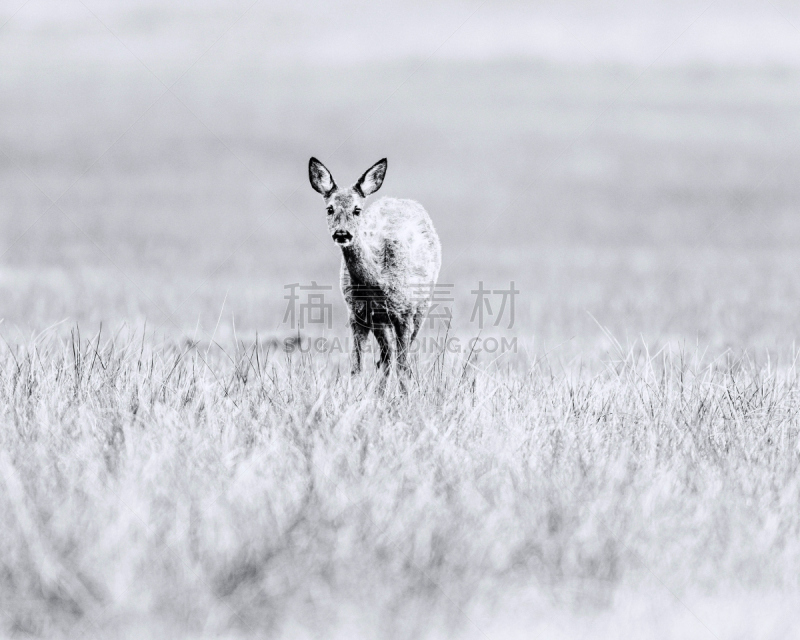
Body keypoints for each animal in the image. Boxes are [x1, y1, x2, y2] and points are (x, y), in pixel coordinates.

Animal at [308, 158, 444, 378]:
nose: (342, 233)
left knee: (398, 358)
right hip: (381, 321)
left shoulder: (405, 312)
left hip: (422, 305)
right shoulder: (357, 314)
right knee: (386, 357)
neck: (379, 283)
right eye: (330, 209)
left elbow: (403, 367)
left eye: (357, 209)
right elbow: (356, 367)